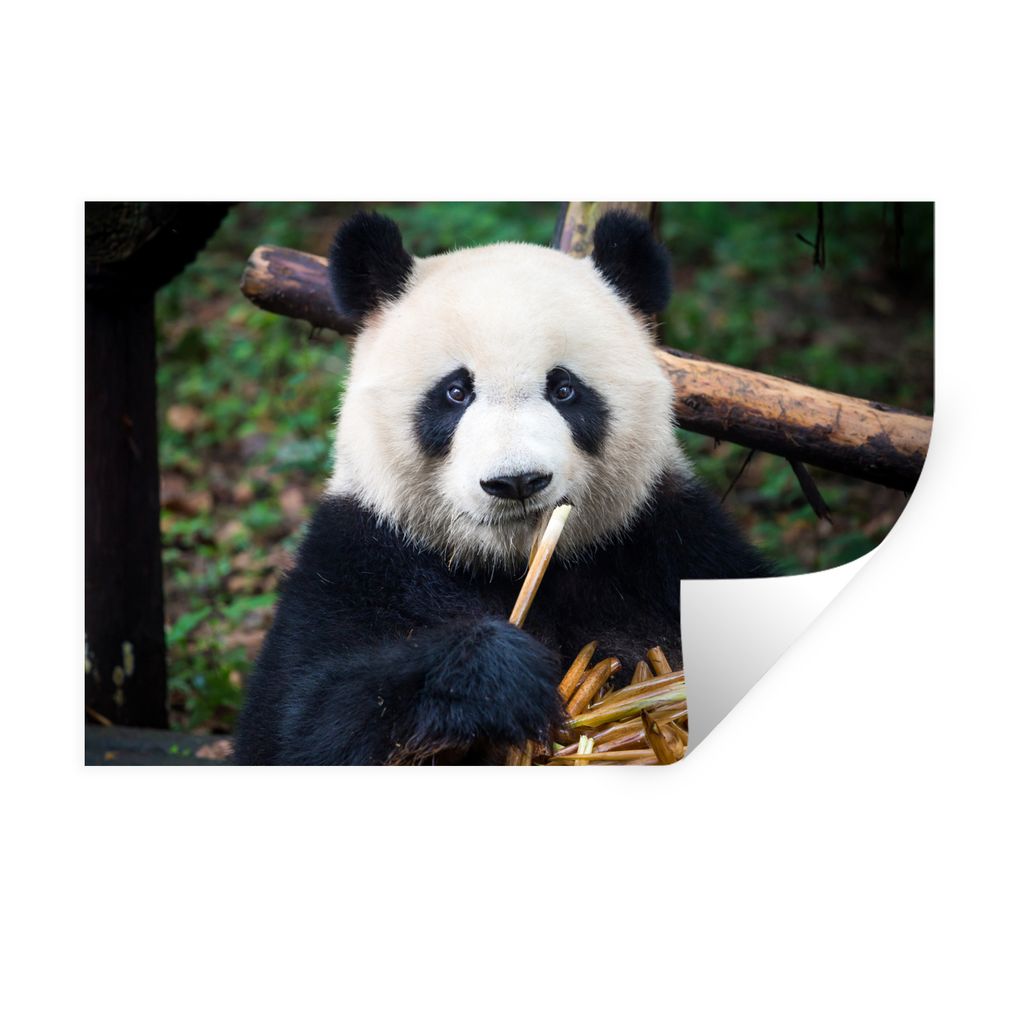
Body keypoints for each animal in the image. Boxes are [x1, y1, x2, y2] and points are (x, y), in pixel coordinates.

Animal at [233, 210, 774, 765]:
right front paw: (496, 675)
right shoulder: (358, 560)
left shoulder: (668, 543)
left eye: (564, 388)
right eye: (455, 392)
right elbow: (298, 723)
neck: (511, 565)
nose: (516, 481)